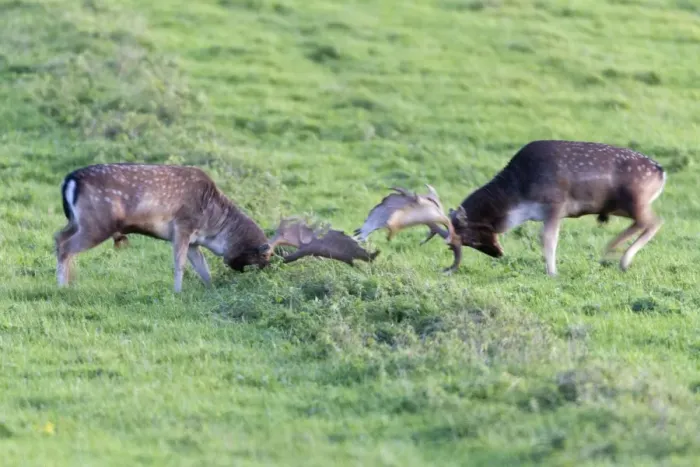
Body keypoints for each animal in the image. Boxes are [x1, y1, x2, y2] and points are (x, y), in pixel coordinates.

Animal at [355, 140, 667, 276]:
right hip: (626, 206)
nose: (498, 252)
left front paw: (552, 272)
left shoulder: (556, 204)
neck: (518, 197)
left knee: (653, 221)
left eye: (468, 238)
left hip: (634, 200)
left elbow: (548, 239)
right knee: (649, 222)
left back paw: (619, 257)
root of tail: (661, 173)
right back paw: (613, 252)